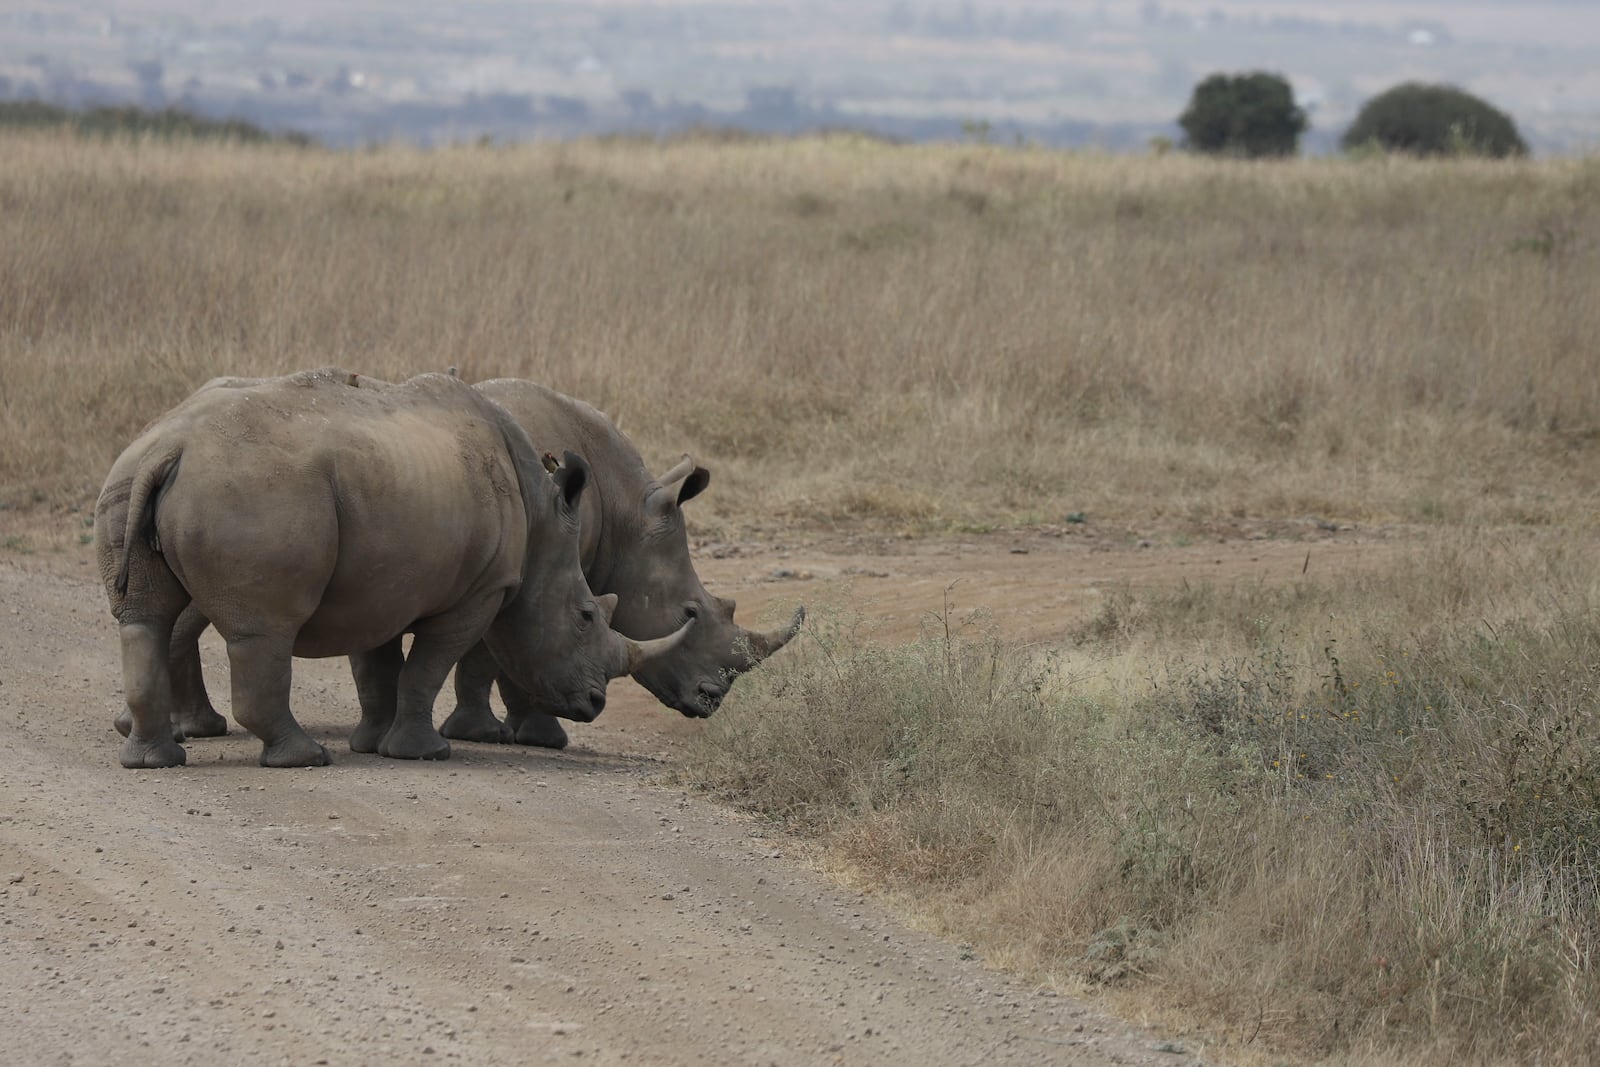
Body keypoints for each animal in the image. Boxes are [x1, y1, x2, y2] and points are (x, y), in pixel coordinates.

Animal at [93, 367, 681, 767]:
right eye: (585, 616)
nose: (595, 702)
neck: (540, 525)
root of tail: (171, 447)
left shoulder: (382, 579)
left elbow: (379, 668)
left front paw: (373, 744)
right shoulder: (481, 590)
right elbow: (426, 667)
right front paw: (424, 752)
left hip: (131, 477)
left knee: (145, 620)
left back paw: (153, 761)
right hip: (252, 494)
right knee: (263, 630)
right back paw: (306, 759)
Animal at [438, 379, 806, 748]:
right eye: (689, 613)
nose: (710, 699)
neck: (624, 513)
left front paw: (522, 733)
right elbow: (502, 650)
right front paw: (505, 734)